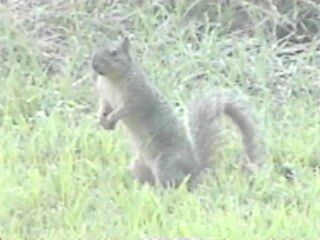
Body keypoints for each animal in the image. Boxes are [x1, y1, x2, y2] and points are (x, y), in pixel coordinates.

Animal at [90, 37, 262, 188]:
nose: (94, 64)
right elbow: (104, 106)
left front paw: (112, 119)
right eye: (96, 48)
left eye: (114, 53)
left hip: (165, 164)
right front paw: (102, 119)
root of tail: (194, 169)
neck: (112, 80)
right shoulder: (105, 96)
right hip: (138, 166)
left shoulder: (137, 95)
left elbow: (125, 109)